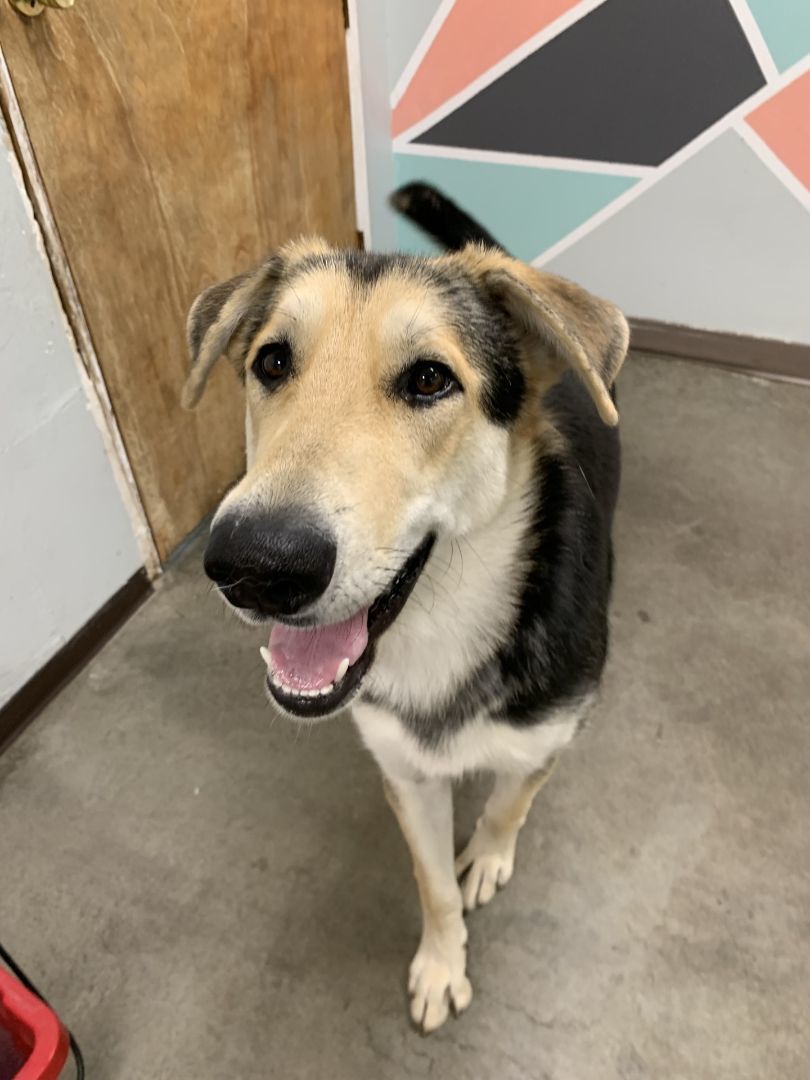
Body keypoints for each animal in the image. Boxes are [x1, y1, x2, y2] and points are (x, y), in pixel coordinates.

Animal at [183, 183, 626, 1028]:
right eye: (272, 362)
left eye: (429, 380)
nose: (256, 563)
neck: (445, 631)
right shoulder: (407, 776)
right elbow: (432, 885)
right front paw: (441, 964)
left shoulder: (544, 744)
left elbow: (506, 808)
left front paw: (486, 859)